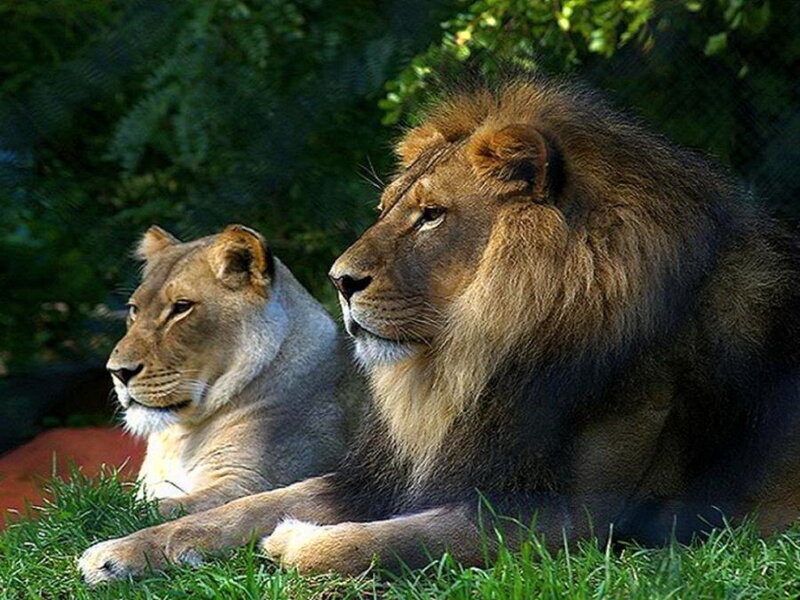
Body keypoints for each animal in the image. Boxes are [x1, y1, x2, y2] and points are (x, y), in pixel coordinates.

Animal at [105, 224, 362, 517]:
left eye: (181, 307)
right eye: (134, 309)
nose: (117, 372)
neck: (179, 439)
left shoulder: (251, 483)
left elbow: (145, 510)